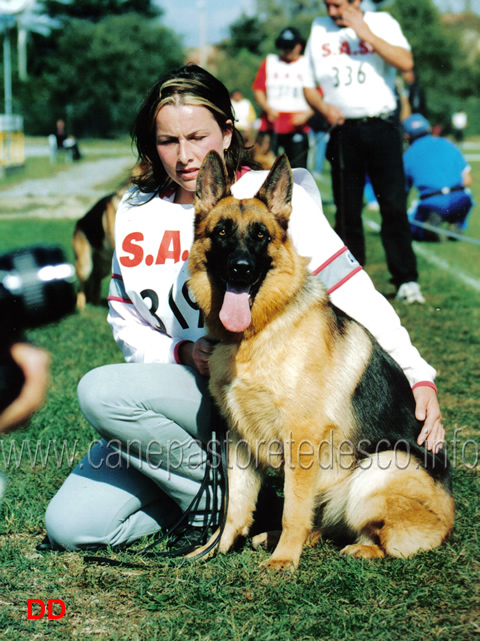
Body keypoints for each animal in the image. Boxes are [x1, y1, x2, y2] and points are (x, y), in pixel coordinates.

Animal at [188, 150, 454, 568]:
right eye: (222, 232)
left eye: (260, 235)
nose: (241, 270)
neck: (260, 329)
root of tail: (450, 521)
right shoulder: (239, 437)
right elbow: (235, 506)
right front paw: (214, 549)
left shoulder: (302, 439)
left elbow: (293, 509)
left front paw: (283, 561)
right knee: (325, 523)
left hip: (377, 469)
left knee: (381, 538)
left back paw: (357, 548)